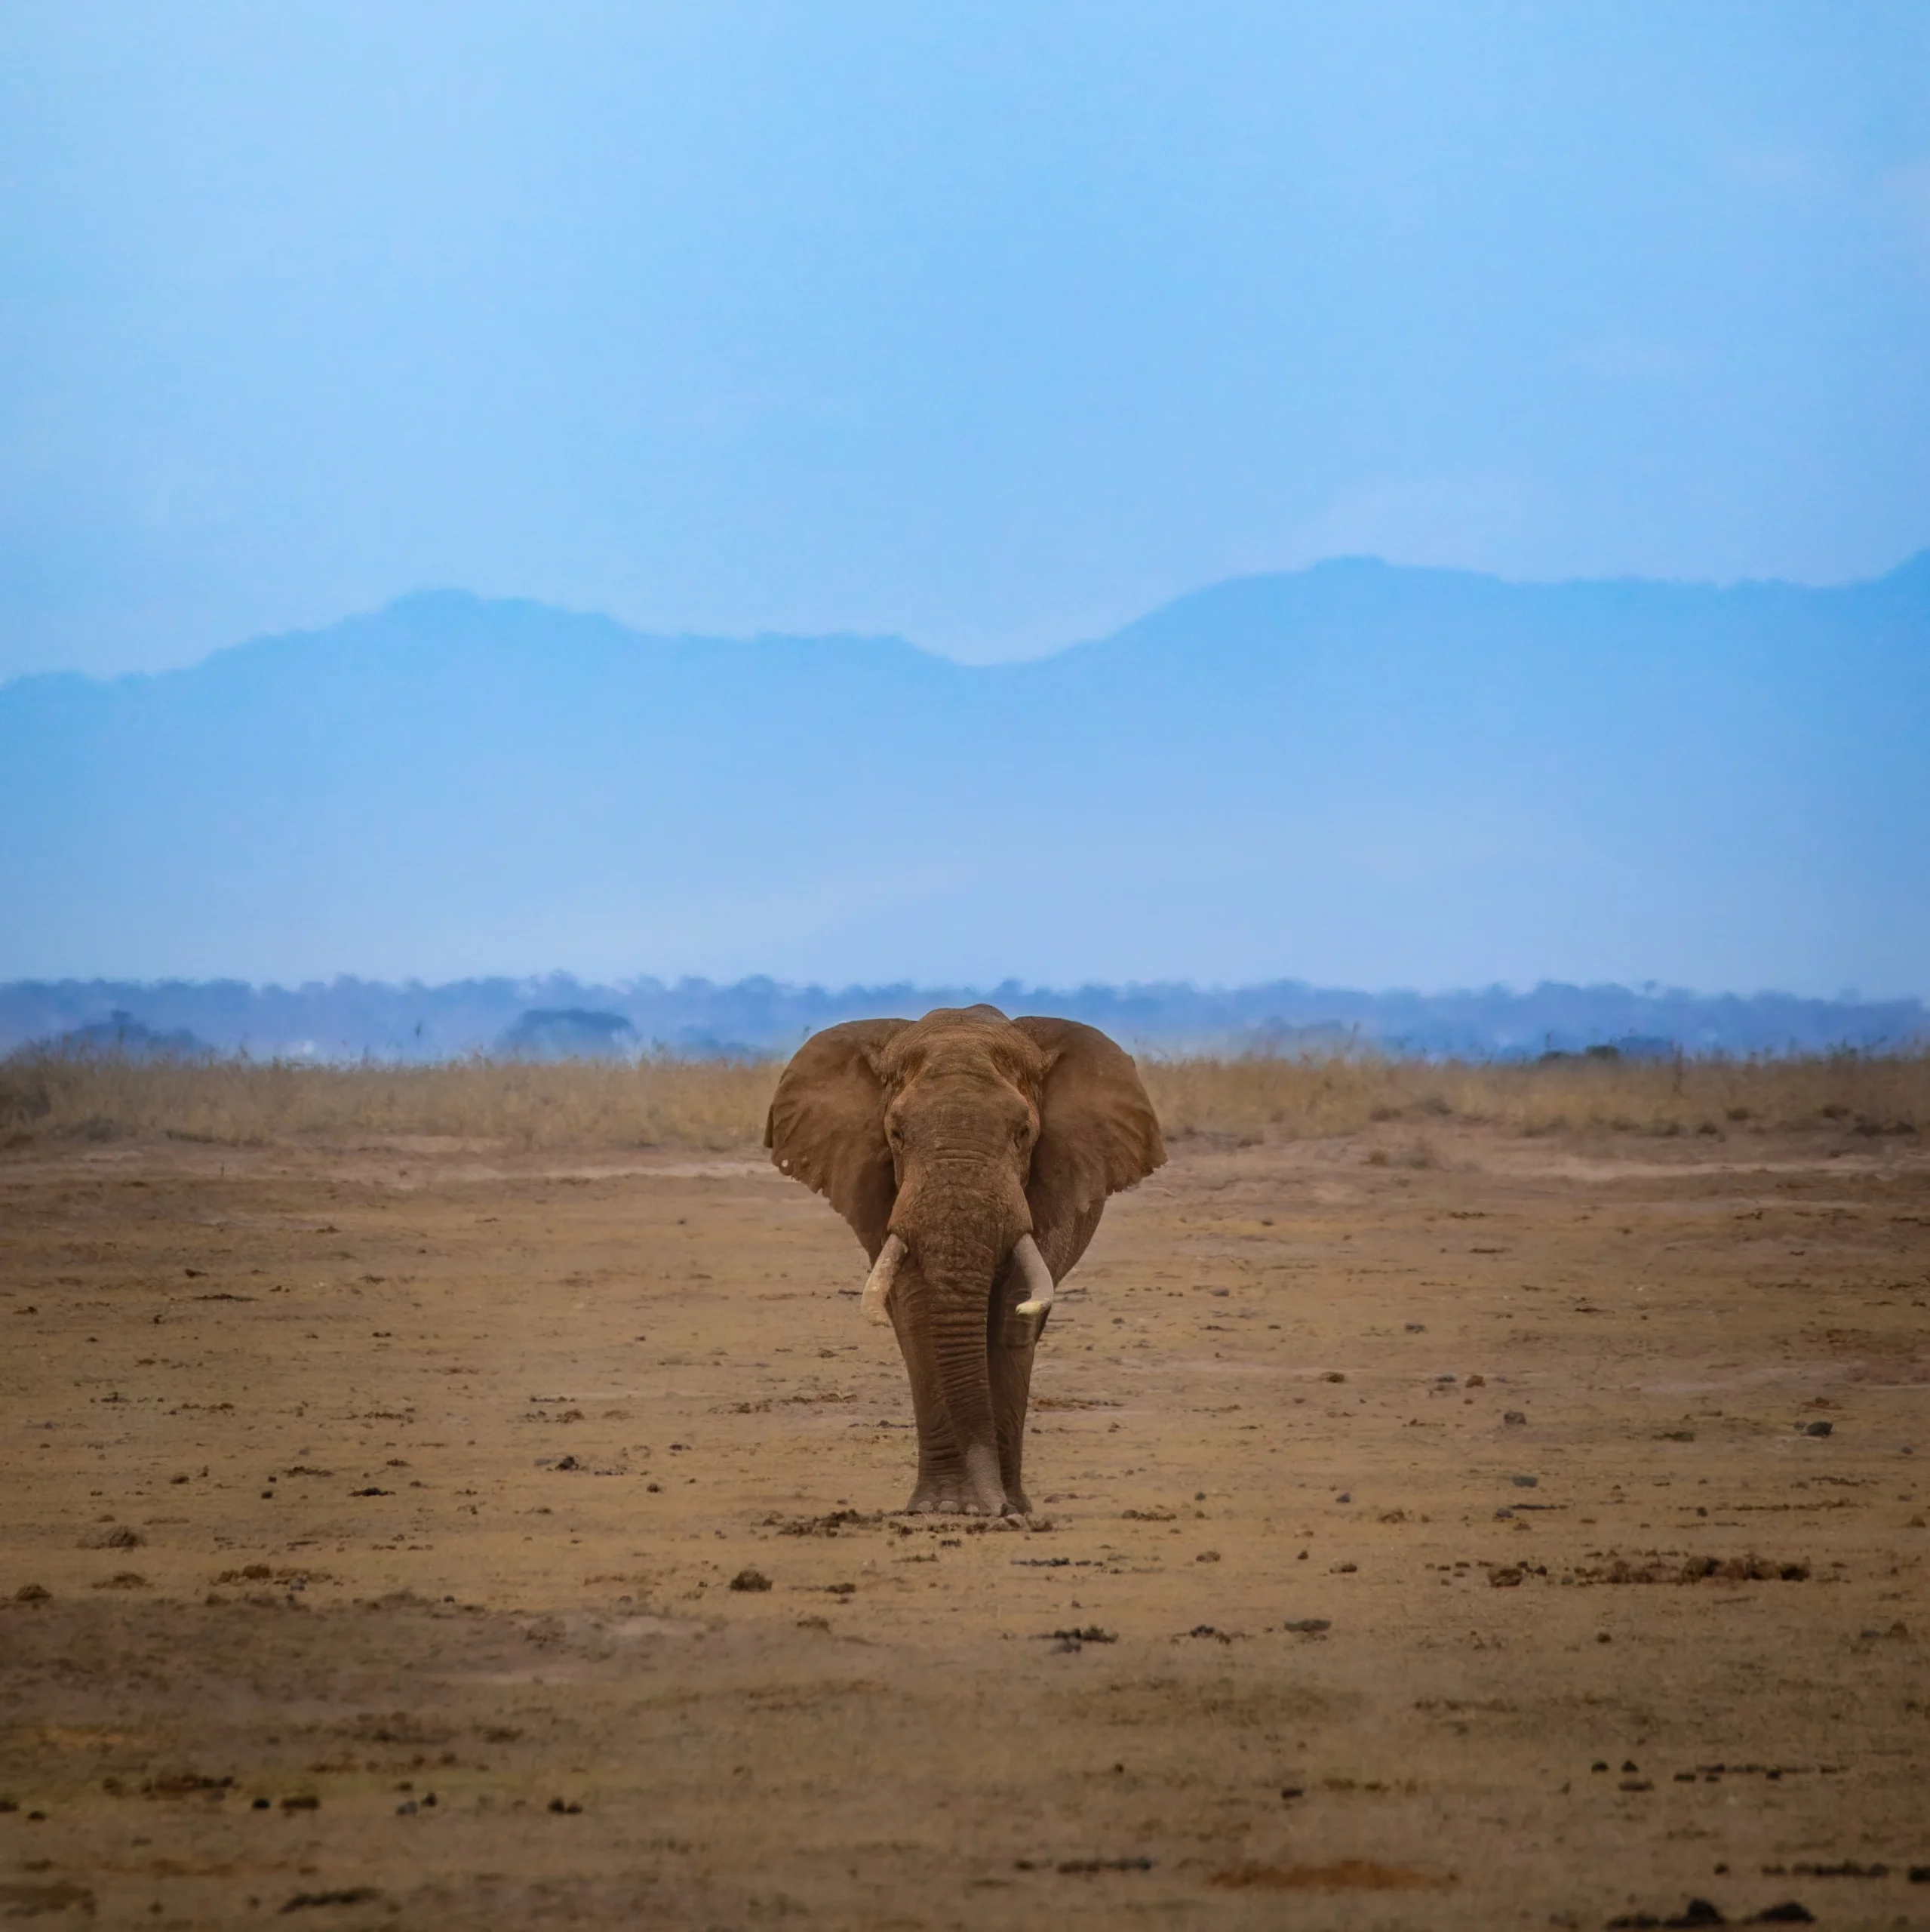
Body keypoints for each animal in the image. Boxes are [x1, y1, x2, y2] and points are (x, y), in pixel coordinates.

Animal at [765, 1005, 1165, 1516]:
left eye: (1023, 1134)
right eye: (896, 1134)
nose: (994, 1508)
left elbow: (1014, 1312)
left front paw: (1004, 1506)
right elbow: (917, 1314)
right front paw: (944, 1508)